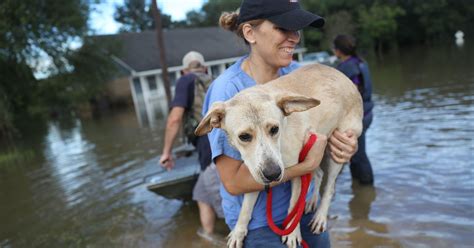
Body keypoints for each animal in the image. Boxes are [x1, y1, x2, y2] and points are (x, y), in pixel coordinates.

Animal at [194, 64, 362, 248]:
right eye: (244, 136)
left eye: (274, 129)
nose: (273, 173)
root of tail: (345, 78)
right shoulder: (255, 173)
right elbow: (245, 207)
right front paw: (238, 231)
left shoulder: (297, 172)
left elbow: (293, 205)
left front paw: (292, 233)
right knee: (318, 174)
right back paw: (311, 201)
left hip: (337, 151)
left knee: (329, 186)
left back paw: (320, 216)